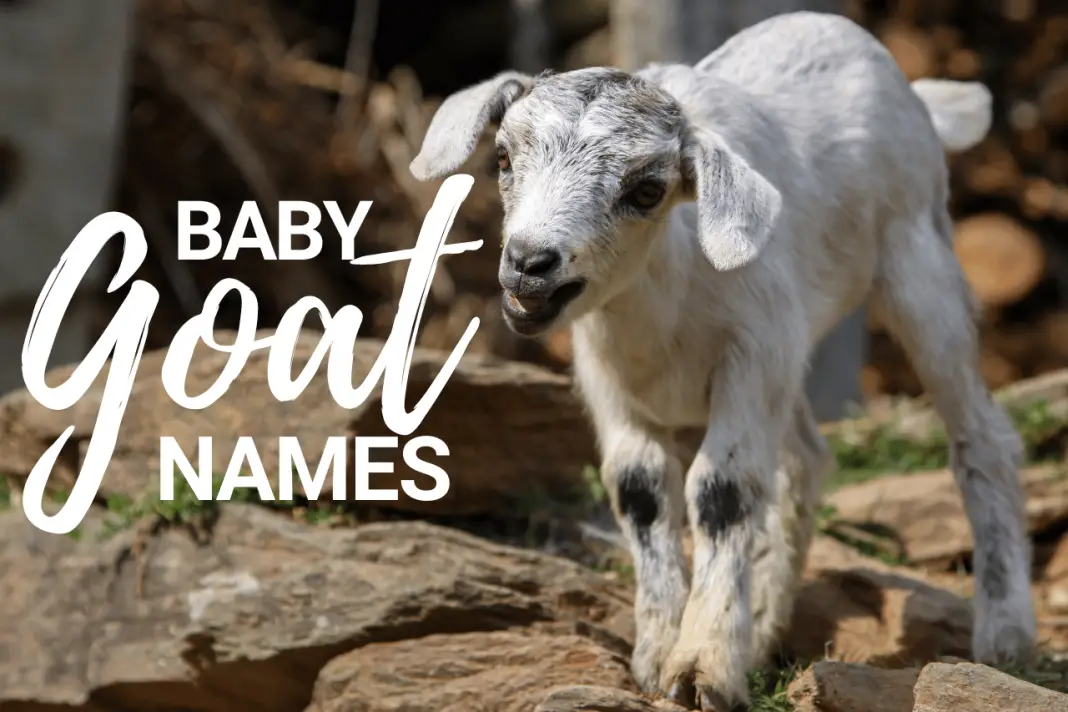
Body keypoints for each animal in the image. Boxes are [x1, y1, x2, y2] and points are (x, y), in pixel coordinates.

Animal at [408, 11, 1036, 712]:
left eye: (647, 190)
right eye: (502, 158)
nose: (530, 262)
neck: (664, 297)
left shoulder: (748, 358)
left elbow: (722, 492)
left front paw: (702, 668)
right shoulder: (611, 376)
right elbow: (641, 489)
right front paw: (658, 658)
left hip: (916, 261)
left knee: (980, 435)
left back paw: (1005, 634)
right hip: (791, 352)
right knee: (804, 460)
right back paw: (761, 630)